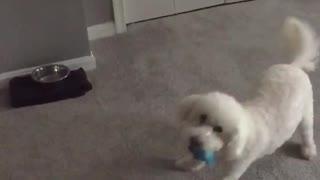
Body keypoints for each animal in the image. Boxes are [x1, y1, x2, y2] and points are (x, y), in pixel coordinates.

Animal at [176, 16, 318, 180]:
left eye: (219, 129)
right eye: (202, 117)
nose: (195, 140)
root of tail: (294, 66)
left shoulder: (237, 165)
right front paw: (189, 163)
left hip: (306, 112)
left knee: (307, 132)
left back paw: (309, 150)